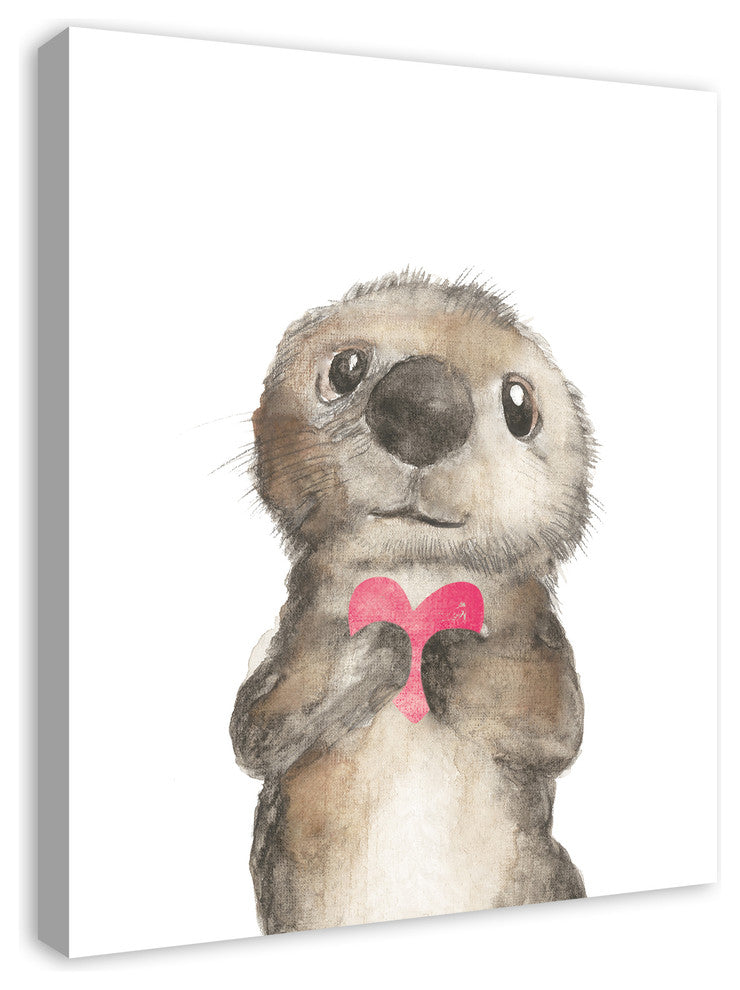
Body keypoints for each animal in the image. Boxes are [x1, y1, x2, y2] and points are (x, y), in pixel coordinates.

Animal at [230, 271, 595, 935]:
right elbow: (255, 726)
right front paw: (387, 643)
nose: (425, 406)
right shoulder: (290, 640)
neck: (417, 577)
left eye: (520, 404)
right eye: (345, 368)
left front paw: (446, 649)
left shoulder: (541, 639)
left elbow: (558, 721)